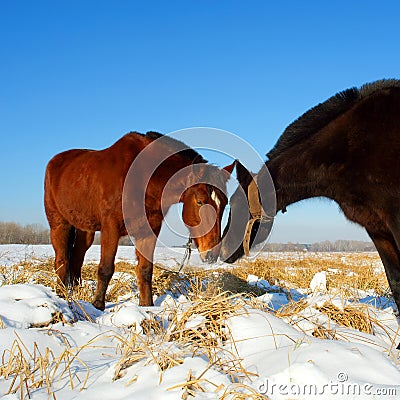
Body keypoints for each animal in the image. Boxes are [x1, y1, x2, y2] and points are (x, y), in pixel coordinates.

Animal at [45, 131, 233, 310]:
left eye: (224, 204)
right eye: (200, 201)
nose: (212, 254)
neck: (142, 177)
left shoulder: (150, 230)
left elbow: (145, 270)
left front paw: (147, 305)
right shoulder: (111, 227)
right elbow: (106, 268)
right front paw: (98, 305)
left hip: (86, 229)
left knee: (77, 258)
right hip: (59, 224)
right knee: (61, 260)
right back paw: (62, 295)